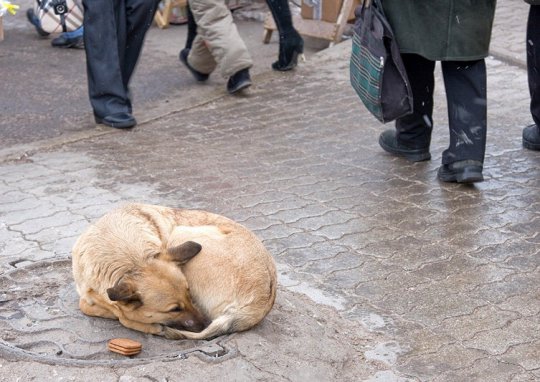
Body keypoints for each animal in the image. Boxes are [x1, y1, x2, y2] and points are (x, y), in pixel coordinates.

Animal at [71, 203, 276, 340]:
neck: (133, 260)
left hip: (181, 233)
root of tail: (257, 305)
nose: (204, 324)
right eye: (174, 309)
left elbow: (108, 311)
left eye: (189, 294)